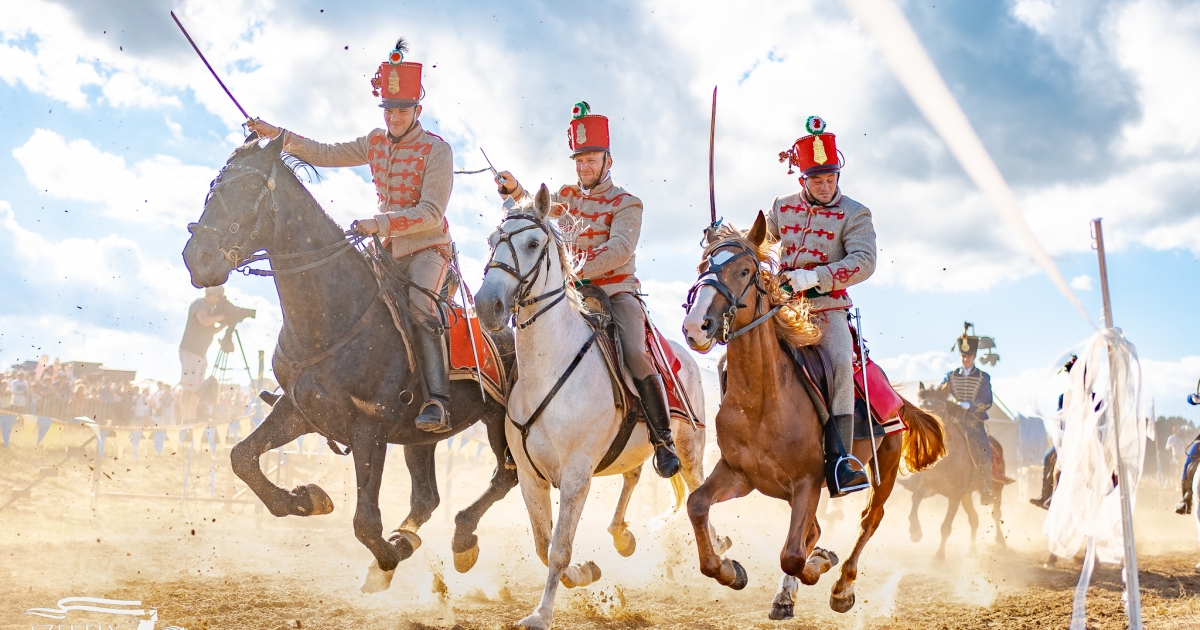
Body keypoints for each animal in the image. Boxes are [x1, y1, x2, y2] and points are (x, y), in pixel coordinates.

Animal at [181, 132, 516, 590]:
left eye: (249, 189)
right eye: (214, 187)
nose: (197, 258)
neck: (333, 315)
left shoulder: (369, 428)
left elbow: (365, 522)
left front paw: (386, 556)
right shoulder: (300, 411)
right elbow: (242, 458)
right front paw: (308, 499)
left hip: (500, 422)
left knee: (505, 476)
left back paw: (462, 540)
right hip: (421, 439)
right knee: (427, 497)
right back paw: (409, 538)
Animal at [475, 187, 720, 628]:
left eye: (533, 243)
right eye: (491, 241)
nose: (488, 304)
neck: (549, 366)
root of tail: (687, 357)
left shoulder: (576, 476)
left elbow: (558, 547)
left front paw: (542, 613)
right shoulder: (530, 477)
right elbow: (543, 544)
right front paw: (582, 573)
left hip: (690, 450)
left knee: (697, 489)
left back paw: (722, 554)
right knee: (634, 474)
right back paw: (622, 534)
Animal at [681, 213, 940, 614]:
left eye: (744, 271)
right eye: (702, 267)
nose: (697, 326)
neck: (761, 401)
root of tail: (895, 394)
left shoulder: (807, 482)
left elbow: (793, 556)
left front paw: (819, 564)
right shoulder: (739, 474)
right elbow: (696, 506)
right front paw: (730, 570)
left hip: (884, 468)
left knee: (869, 519)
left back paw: (842, 586)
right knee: (815, 529)